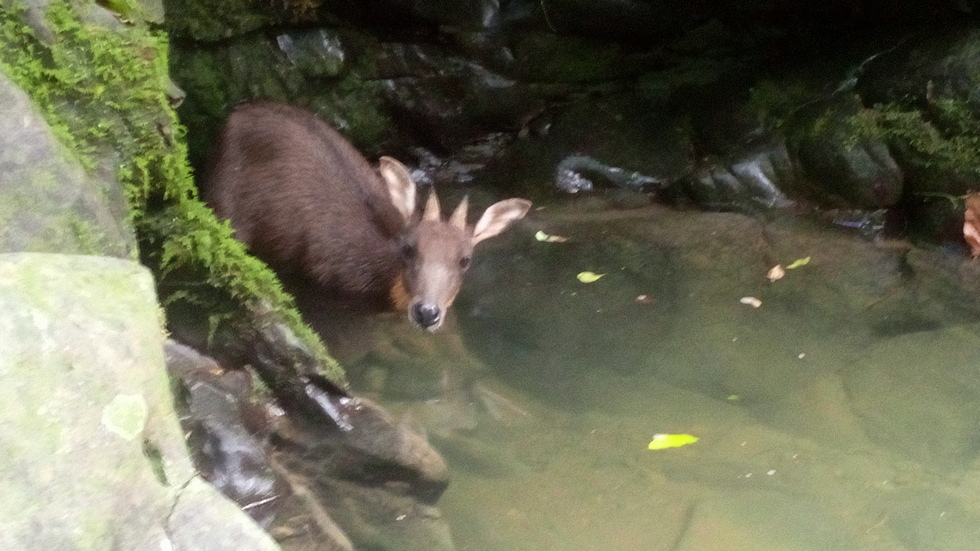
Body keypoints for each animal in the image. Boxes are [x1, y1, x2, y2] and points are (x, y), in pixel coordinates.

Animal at [202, 101, 532, 338]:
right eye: (408, 248)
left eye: (465, 260)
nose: (427, 312)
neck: (382, 281)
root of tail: (233, 117)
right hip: (226, 204)